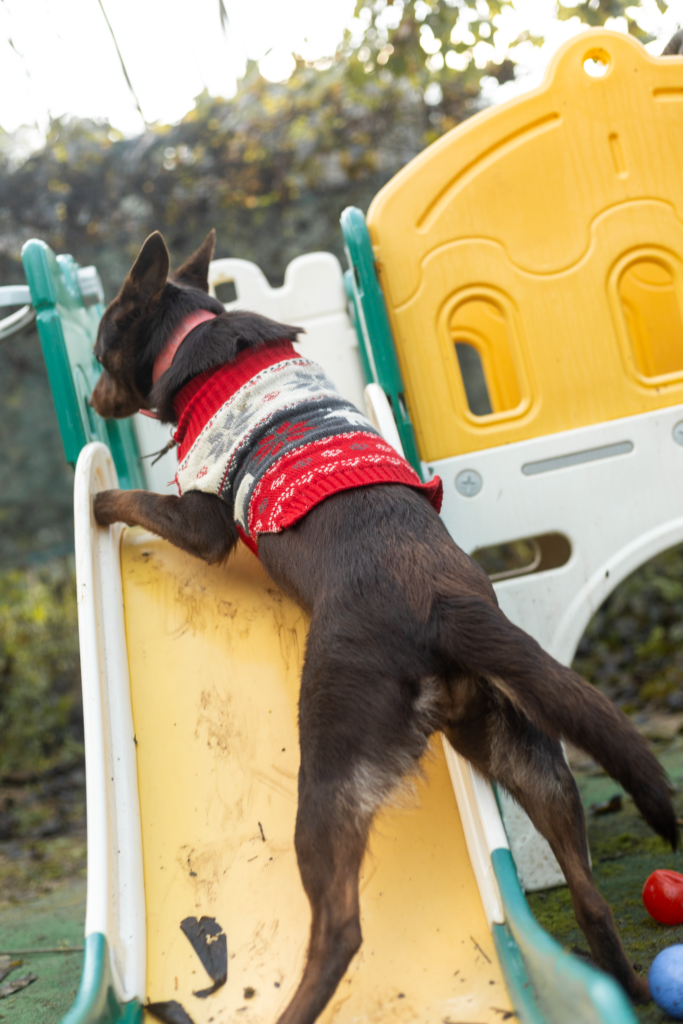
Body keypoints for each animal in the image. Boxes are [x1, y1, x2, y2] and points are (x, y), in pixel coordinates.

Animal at [90, 232, 679, 1024]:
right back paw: (624, 986)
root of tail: (444, 609)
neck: (197, 333)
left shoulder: (202, 521)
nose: (92, 396)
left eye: (99, 350)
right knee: (589, 896)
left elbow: (134, 498)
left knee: (340, 930)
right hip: (531, 752)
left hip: (331, 769)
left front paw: (98, 504)